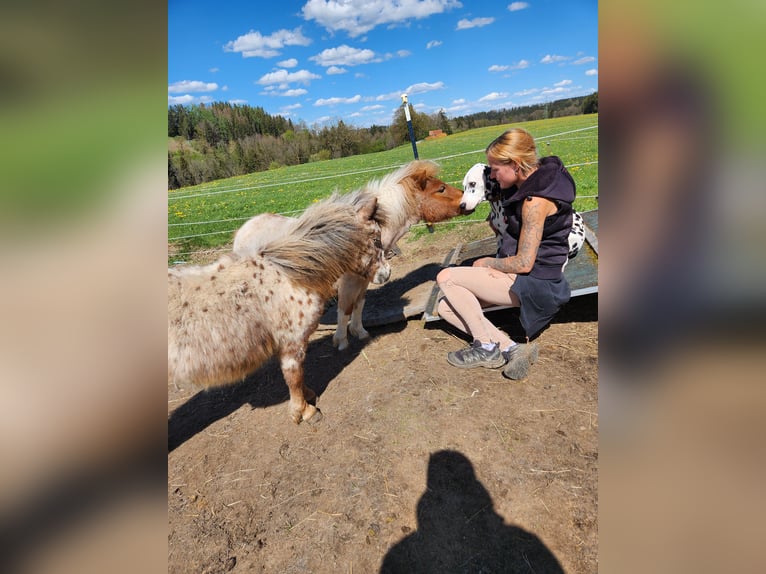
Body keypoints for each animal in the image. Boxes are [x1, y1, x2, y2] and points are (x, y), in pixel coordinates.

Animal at [172, 198, 392, 428]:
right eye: (376, 239)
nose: (386, 274)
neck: (291, 274)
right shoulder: (293, 342)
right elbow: (294, 376)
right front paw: (304, 411)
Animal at [234, 161, 464, 352]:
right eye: (441, 189)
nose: (466, 200)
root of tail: (243, 230)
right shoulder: (346, 283)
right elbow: (344, 309)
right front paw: (342, 341)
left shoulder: (364, 280)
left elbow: (359, 305)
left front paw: (359, 332)